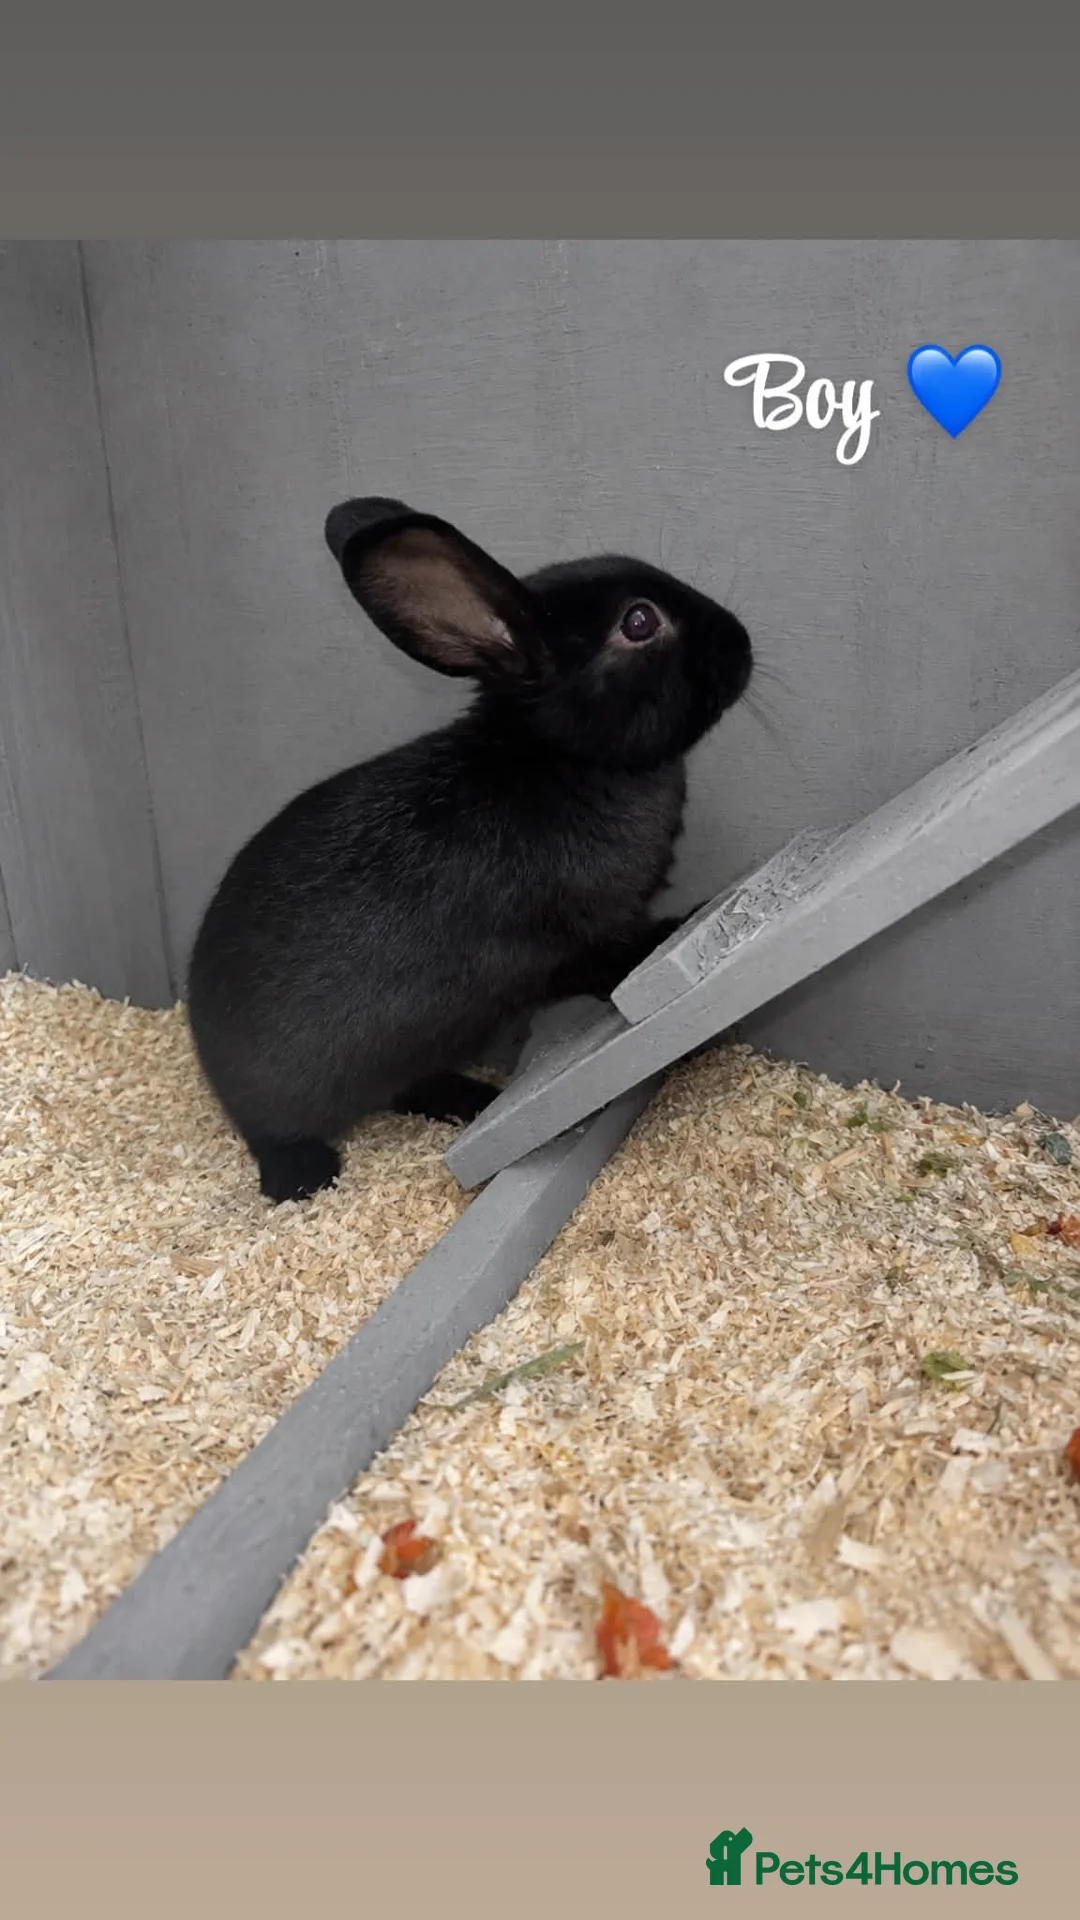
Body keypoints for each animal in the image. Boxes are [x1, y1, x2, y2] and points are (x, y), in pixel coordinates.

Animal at [186, 496, 753, 1203]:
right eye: (640, 621)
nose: (743, 642)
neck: (565, 761)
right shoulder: (572, 941)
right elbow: (614, 960)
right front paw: (689, 921)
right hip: (290, 1093)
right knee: (275, 1132)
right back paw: (307, 1176)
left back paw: (472, 1099)